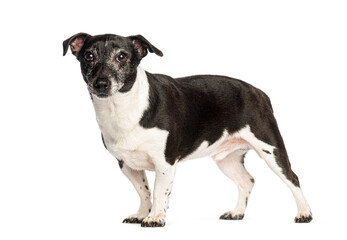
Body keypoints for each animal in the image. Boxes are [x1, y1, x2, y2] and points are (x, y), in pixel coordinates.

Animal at [62, 32, 312, 227]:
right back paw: (237, 212)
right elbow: (143, 191)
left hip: (271, 148)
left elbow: (158, 191)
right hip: (227, 159)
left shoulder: (165, 163)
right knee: (246, 181)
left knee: (293, 178)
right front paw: (142, 214)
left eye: (122, 57)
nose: (101, 84)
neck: (122, 107)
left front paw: (155, 217)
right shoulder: (127, 164)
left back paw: (304, 213)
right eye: (88, 56)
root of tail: (259, 92)